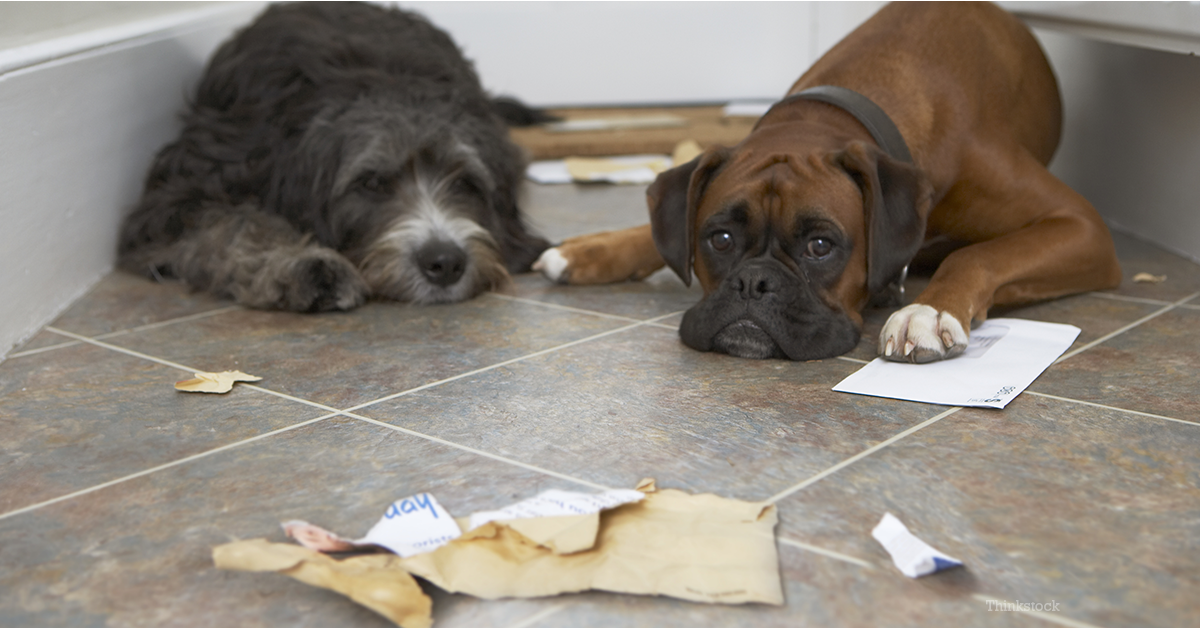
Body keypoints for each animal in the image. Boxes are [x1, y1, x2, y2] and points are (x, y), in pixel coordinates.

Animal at [117, 1, 549, 312]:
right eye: (371, 182)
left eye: (465, 182)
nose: (444, 262)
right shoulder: (174, 199)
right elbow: (232, 224)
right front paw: (302, 265)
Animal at [532, 2, 1113, 362]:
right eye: (719, 239)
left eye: (819, 246)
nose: (753, 283)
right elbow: (662, 228)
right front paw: (593, 248)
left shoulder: (1082, 226)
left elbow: (977, 256)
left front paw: (926, 310)